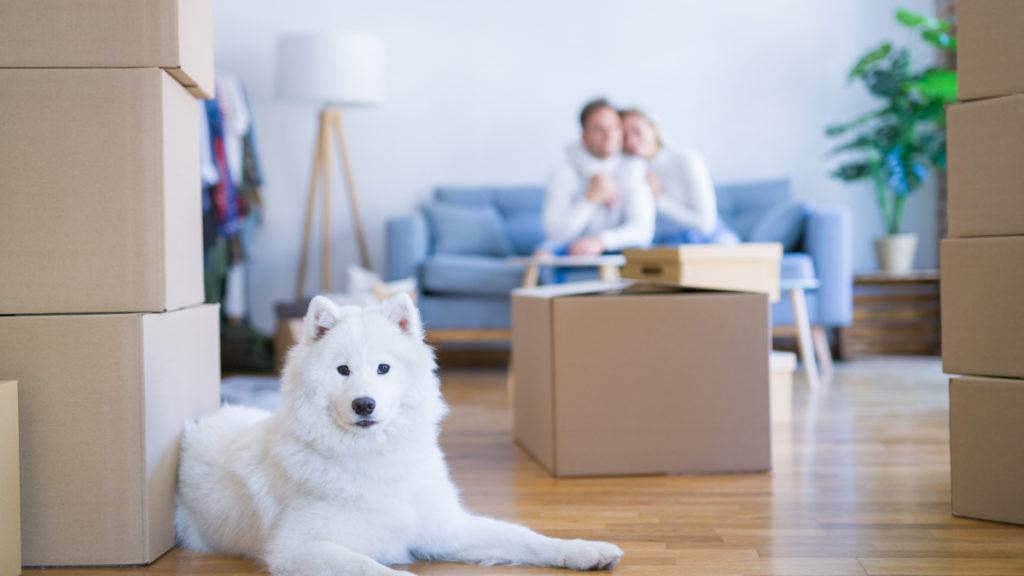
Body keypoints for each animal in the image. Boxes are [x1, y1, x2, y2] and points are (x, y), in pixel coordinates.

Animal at [176, 293, 622, 569]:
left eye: (383, 368)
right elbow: (371, 568)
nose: (364, 404)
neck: (372, 456)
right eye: (343, 370)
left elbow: (525, 536)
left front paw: (584, 550)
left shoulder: (446, 527)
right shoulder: (297, 549)